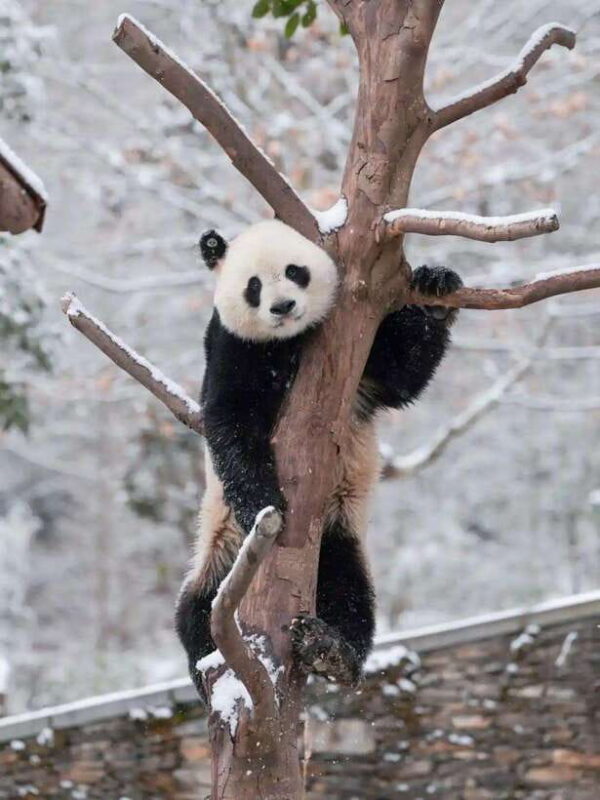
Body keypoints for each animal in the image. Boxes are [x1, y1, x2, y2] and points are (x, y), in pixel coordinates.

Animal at [175, 218, 462, 697]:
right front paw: (263, 502)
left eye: (296, 271)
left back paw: (330, 650)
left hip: (334, 529)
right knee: (196, 610)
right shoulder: (234, 348)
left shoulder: (362, 362)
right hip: (225, 547)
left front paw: (435, 288)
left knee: (348, 592)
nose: (283, 306)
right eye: (253, 285)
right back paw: (211, 667)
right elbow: (230, 421)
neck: (292, 341)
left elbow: (402, 374)